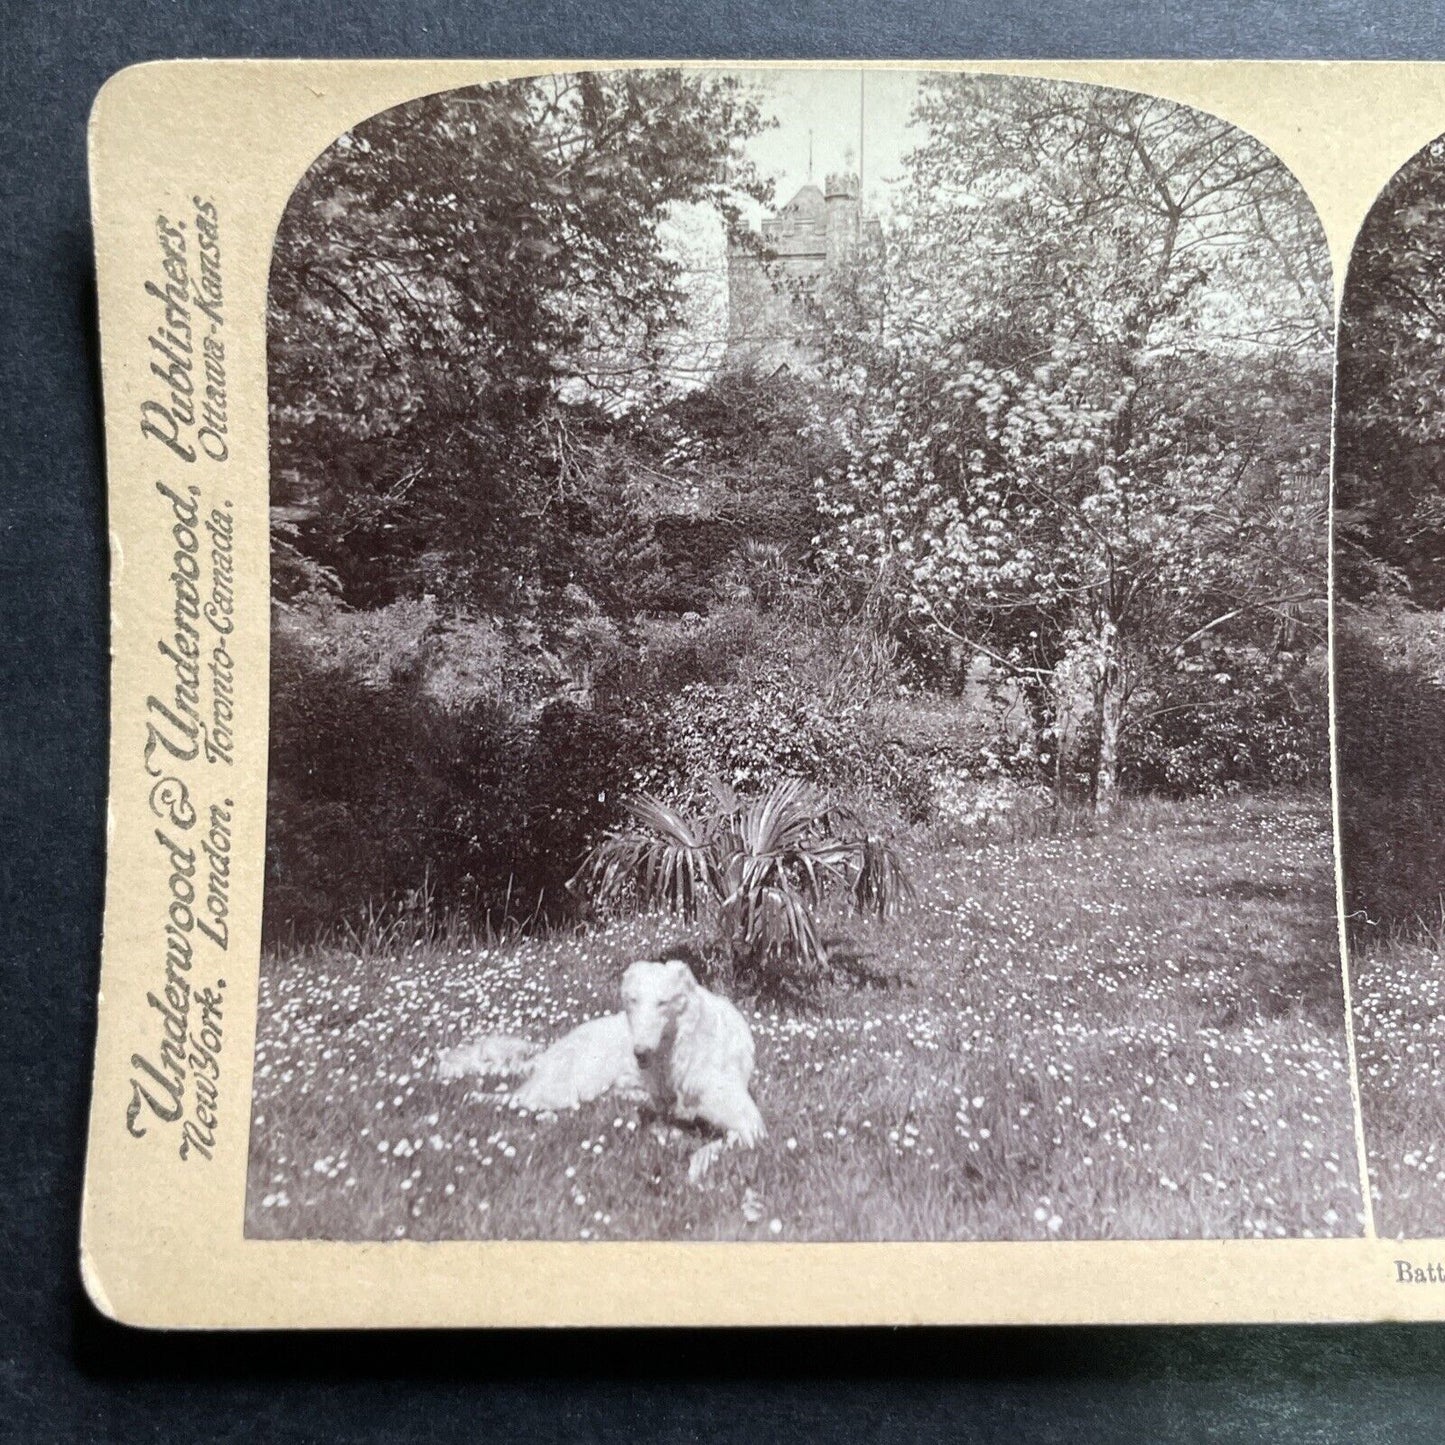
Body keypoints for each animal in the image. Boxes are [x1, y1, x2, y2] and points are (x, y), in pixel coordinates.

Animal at [439, 953, 768, 1179]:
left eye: (662, 1003)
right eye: (632, 1000)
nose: (640, 1053)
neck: (680, 1049)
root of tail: (549, 1053)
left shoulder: (750, 1125)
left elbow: (705, 1146)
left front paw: (694, 1166)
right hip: (568, 1087)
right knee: (511, 1099)